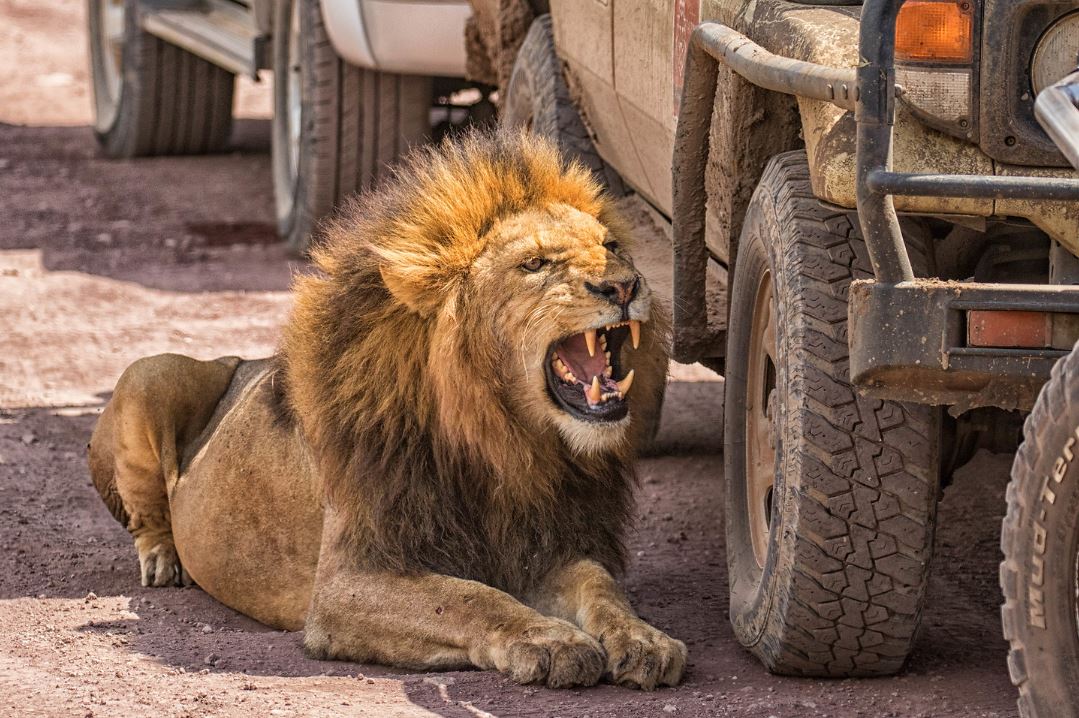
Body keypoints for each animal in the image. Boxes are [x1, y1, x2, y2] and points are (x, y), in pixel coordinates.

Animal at [90, 130, 681, 691]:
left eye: (612, 246)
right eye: (534, 264)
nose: (624, 284)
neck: (503, 441)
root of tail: (240, 360)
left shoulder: (543, 543)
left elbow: (599, 585)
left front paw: (644, 638)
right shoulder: (346, 583)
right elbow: (471, 598)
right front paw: (552, 641)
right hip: (150, 371)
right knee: (147, 511)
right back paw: (164, 560)